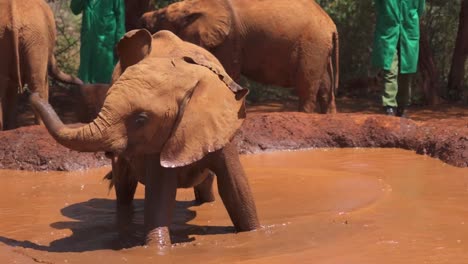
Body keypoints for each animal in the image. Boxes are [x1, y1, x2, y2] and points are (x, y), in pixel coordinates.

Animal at [30, 29, 260, 249]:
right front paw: (155, 248)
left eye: (141, 119)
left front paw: (254, 233)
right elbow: (161, 194)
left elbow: (235, 187)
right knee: (124, 187)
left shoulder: (218, 126)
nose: (33, 96)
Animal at [141, 0, 338, 113]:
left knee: (307, 83)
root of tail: (331, 25)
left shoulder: (231, 37)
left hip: (312, 43)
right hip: (320, 47)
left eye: (161, 16)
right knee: (325, 86)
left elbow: (229, 69)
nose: (142, 19)